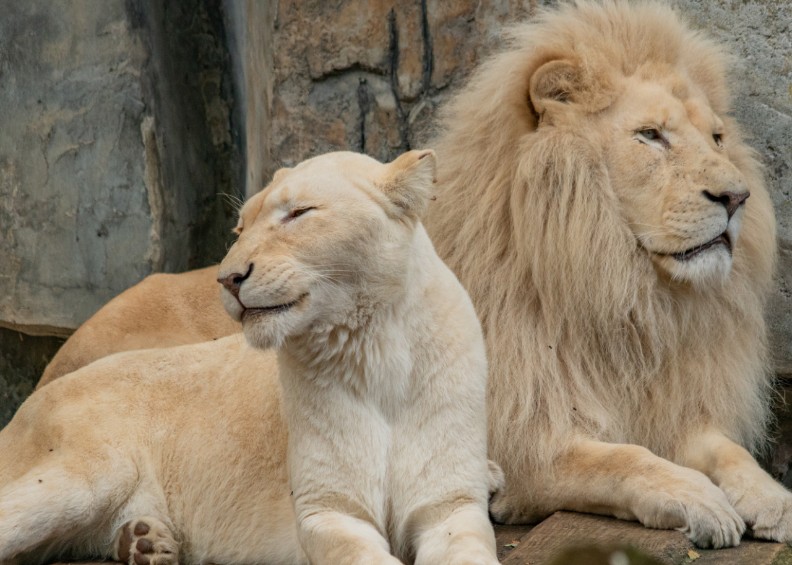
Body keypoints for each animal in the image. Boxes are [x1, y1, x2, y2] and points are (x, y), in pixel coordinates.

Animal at [0, 150, 496, 564]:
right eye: (240, 229)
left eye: (299, 213)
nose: (228, 279)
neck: (373, 349)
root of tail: (31, 400)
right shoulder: (326, 510)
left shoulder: (449, 504)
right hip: (81, 477)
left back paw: (143, 541)